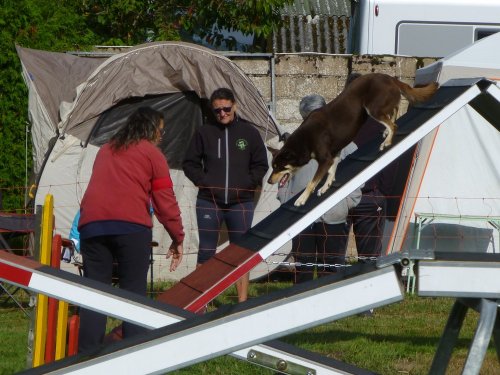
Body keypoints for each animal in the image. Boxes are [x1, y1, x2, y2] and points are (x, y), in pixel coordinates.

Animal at [268, 72, 436, 207]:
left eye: (279, 167)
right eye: (273, 166)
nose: (269, 181)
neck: (304, 140)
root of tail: (388, 76)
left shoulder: (325, 159)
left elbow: (312, 182)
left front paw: (302, 199)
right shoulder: (334, 153)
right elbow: (331, 171)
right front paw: (326, 186)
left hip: (372, 108)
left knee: (393, 124)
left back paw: (387, 141)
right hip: (380, 107)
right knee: (394, 112)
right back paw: (386, 133)